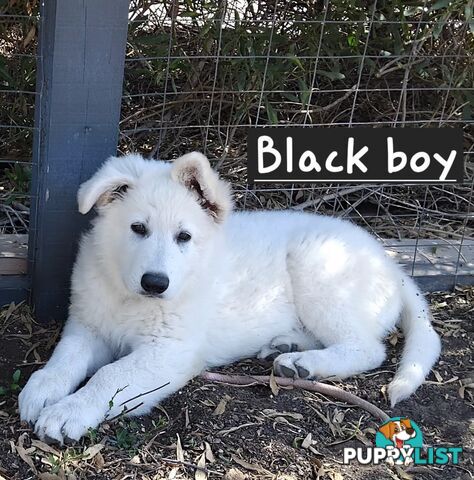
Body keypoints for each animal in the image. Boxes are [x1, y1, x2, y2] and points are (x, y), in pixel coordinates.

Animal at [18, 153, 440, 442]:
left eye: (184, 237)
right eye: (137, 228)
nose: (155, 283)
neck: (131, 298)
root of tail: (392, 265)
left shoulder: (169, 351)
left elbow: (110, 375)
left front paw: (69, 412)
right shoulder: (88, 326)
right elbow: (64, 359)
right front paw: (41, 389)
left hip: (318, 269)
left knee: (368, 348)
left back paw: (304, 363)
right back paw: (286, 348)